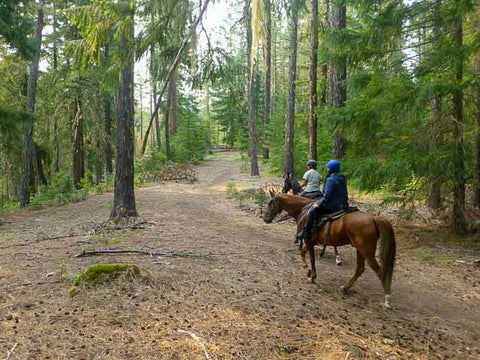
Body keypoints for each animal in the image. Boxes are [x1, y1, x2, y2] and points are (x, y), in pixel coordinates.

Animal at [264, 191, 396, 306]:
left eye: (270, 203)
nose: (265, 219)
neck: (304, 210)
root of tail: (373, 219)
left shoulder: (308, 240)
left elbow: (311, 258)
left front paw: (312, 276)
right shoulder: (310, 241)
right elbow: (303, 252)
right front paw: (307, 268)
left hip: (367, 251)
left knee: (379, 270)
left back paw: (387, 299)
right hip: (360, 250)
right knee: (360, 269)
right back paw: (344, 288)